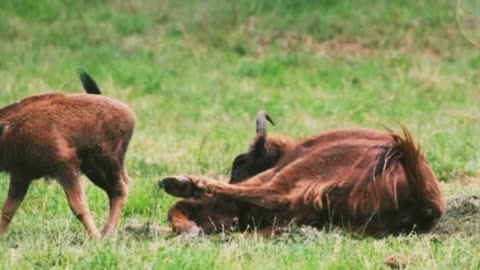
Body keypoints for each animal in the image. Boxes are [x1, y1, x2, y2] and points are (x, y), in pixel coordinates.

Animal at [0, 71, 135, 238]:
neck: (10, 127)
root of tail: (127, 112)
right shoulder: (20, 177)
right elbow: (8, 209)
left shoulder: (65, 167)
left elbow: (78, 206)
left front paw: (95, 238)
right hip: (95, 171)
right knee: (115, 191)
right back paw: (107, 232)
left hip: (105, 164)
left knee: (120, 189)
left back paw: (105, 233)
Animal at [161, 112, 446, 236]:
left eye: (239, 163)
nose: (229, 218)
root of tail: (426, 201)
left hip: (296, 177)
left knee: (272, 195)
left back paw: (182, 184)